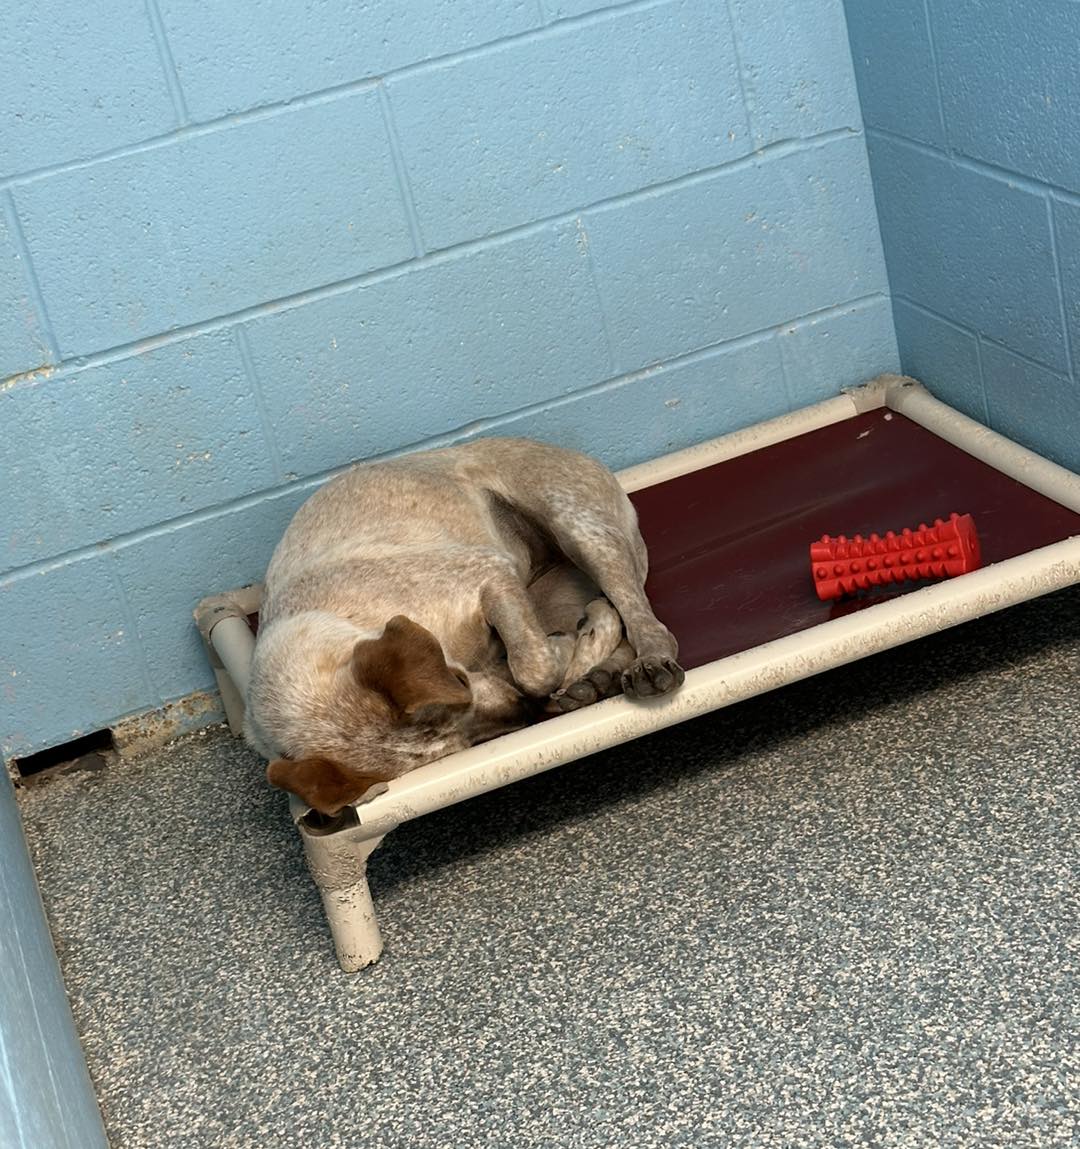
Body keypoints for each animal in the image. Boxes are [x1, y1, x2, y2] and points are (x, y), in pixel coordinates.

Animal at [244, 434, 684, 813]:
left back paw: (643, 661)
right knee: (618, 621)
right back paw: (598, 674)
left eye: (458, 682)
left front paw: (561, 656)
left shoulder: (489, 573)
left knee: (641, 619)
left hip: (581, 529)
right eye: (468, 743)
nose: (524, 713)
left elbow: (535, 669)